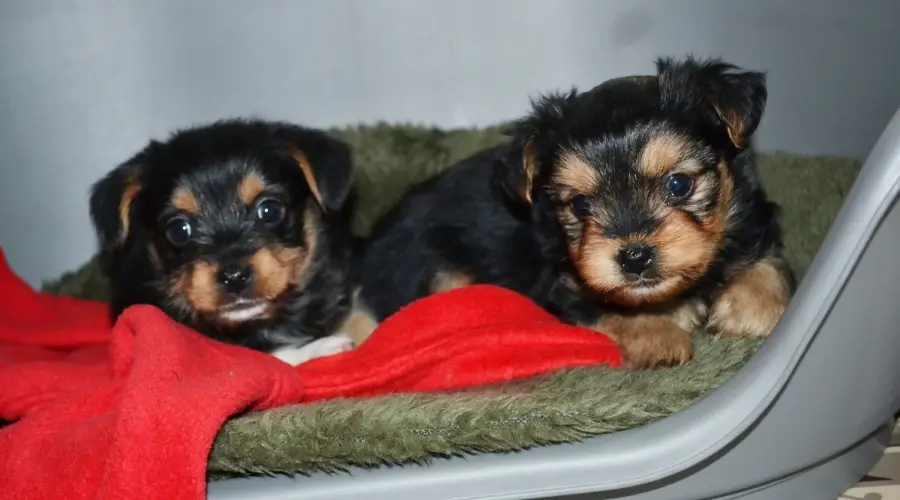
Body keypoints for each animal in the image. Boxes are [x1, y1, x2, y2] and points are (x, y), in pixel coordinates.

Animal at [358, 56, 796, 370]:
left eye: (678, 185)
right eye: (580, 205)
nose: (634, 256)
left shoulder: (753, 219)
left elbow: (769, 263)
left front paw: (749, 309)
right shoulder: (563, 281)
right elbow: (604, 302)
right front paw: (658, 335)